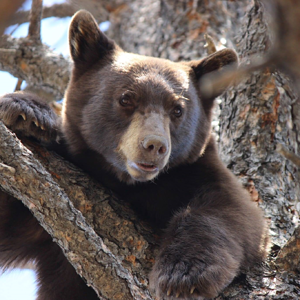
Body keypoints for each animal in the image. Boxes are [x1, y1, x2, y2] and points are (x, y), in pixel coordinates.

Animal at [0, 9, 266, 300]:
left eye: (177, 110)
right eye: (126, 98)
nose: (155, 145)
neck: (128, 184)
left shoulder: (199, 171)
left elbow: (231, 213)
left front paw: (183, 274)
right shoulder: (42, 225)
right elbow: (10, 216)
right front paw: (27, 112)